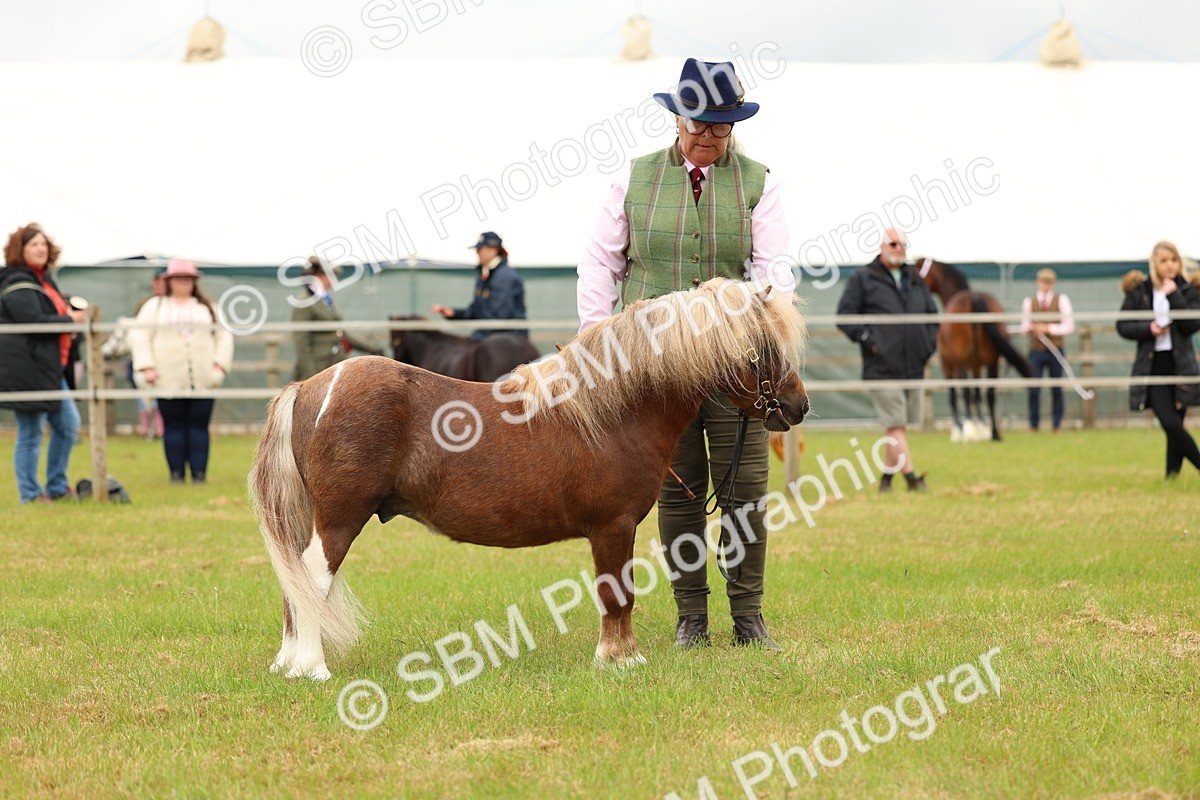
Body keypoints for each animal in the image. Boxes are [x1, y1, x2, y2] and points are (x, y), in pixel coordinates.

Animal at [918, 258, 1031, 442]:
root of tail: (974, 298)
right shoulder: (976, 366)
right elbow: (978, 394)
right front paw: (981, 426)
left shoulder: (948, 365)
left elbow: (955, 395)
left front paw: (960, 429)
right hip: (992, 361)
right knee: (990, 394)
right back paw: (994, 433)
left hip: (962, 361)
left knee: (965, 392)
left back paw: (968, 430)